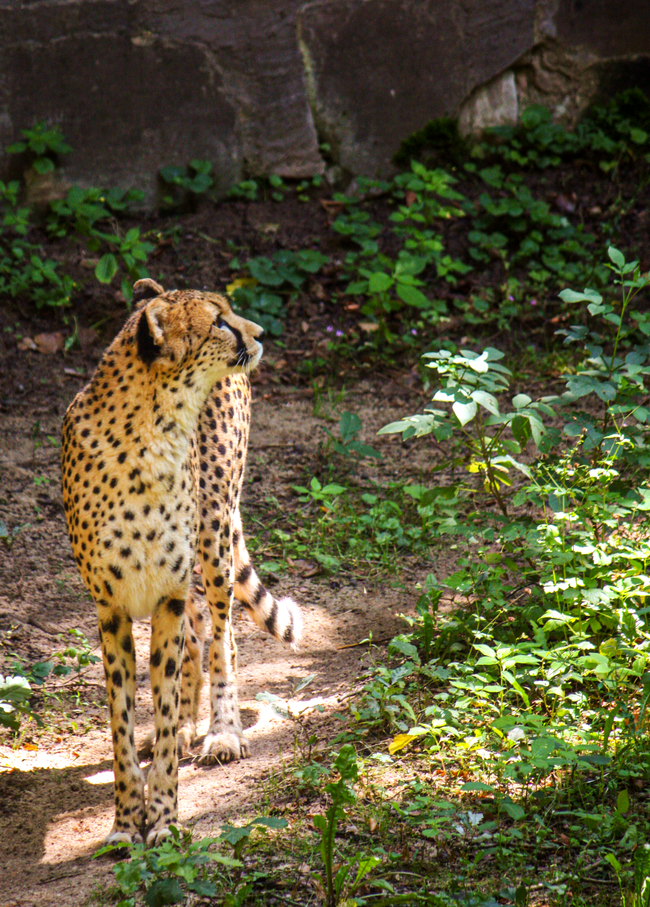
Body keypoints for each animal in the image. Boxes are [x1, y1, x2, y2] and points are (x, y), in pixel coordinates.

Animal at [60, 276, 302, 844]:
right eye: (217, 321)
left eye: (228, 311)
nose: (260, 333)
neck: (150, 433)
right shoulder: (112, 608)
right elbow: (123, 720)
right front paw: (126, 823)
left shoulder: (166, 594)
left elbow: (167, 703)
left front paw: (164, 819)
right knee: (197, 633)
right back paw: (197, 726)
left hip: (213, 535)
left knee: (221, 636)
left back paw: (221, 733)